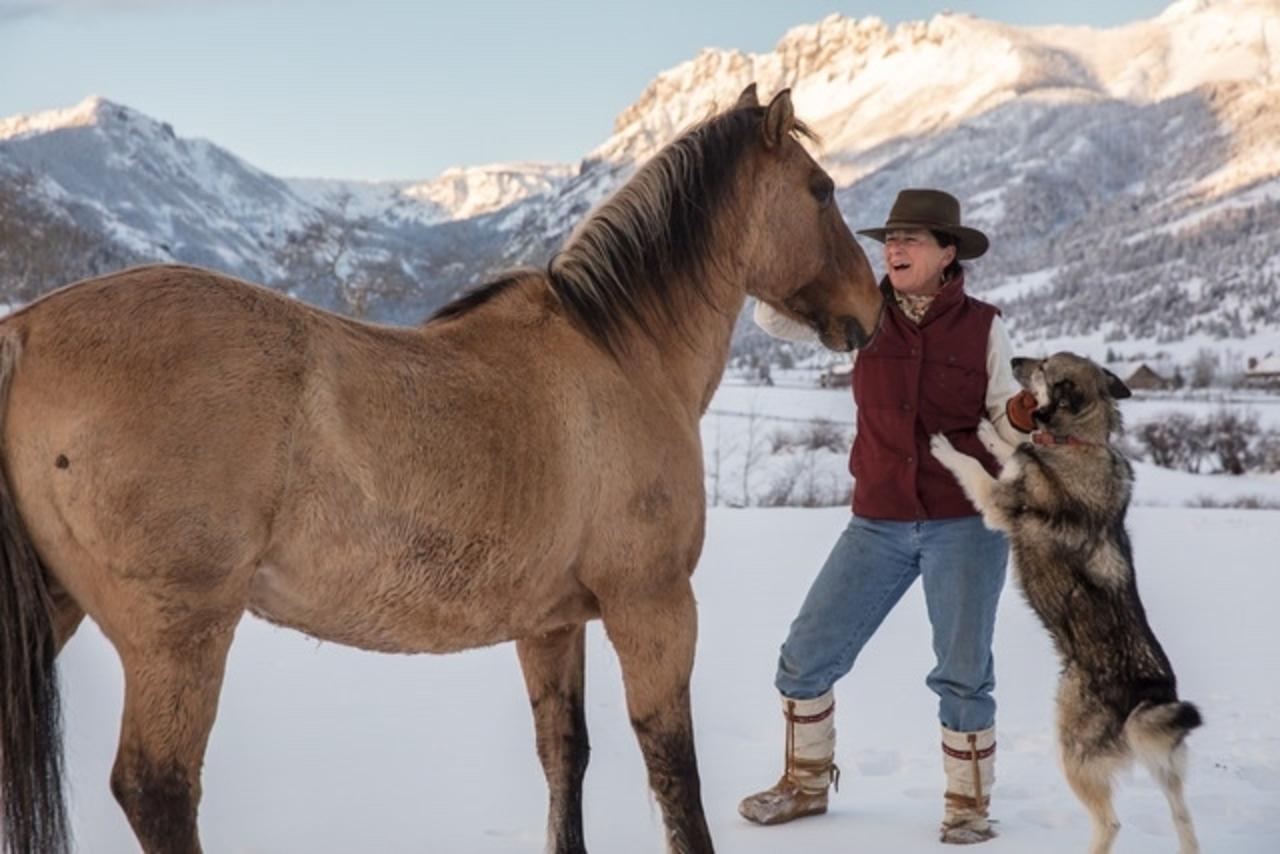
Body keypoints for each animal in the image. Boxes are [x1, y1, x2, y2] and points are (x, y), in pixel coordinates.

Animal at [0, 81, 880, 854]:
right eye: (822, 190)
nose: (869, 314)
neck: (622, 355)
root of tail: (26, 330)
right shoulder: (654, 606)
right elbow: (675, 777)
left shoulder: (551, 623)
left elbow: (566, 758)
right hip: (180, 634)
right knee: (158, 789)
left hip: (63, 611)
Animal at [931, 353, 1198, 854]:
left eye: (1043, 366)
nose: (1015, 359)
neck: (1080, 439)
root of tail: (1149, 698)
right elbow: (1011, 449)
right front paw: (992, 433)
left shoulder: (998, 502)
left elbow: (978, 466)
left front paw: (948, 447)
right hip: (1165, 766)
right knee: (1183, 818)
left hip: (1073, 750)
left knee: (1110, 823)